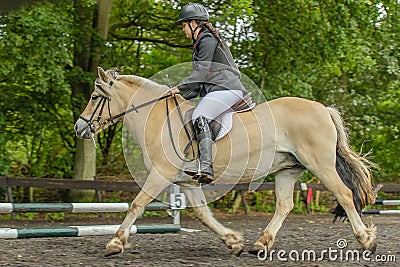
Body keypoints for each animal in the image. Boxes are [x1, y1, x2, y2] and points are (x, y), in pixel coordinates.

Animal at [73, 67, 376, 258]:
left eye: (94, 97)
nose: (79, 127)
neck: (157, 117)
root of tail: (322, 108)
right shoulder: (187, 181)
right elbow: (203, 215)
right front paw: (233, 242)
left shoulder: (161, 173)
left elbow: (136, 204)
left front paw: (115, 242)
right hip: (288, 169)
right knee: (284, 205)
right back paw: (260, 244)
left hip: (320, 165)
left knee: (344, 195)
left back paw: (367, 240)